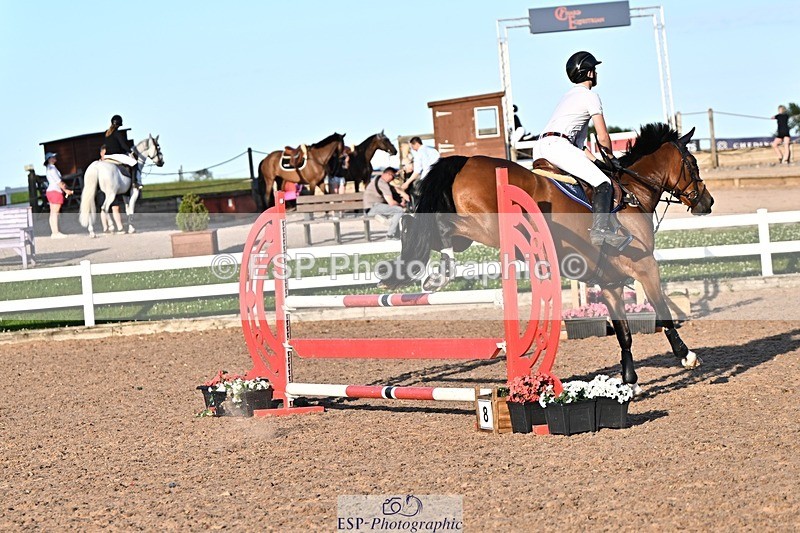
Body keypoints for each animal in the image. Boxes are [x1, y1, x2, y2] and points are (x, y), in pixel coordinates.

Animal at [380, 123, 715, 393]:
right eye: (692, 162)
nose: (707, 202)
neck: (634, 192)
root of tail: (466, 161)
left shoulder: (611, 285)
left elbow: (624, 334)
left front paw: (630, 381)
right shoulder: (646, 267)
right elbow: (664, 313)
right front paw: (686, 356)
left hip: (473, 234)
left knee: (425, 230)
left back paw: (429, 271)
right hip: (487, 228)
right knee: (440, 227)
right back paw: (441, 272)